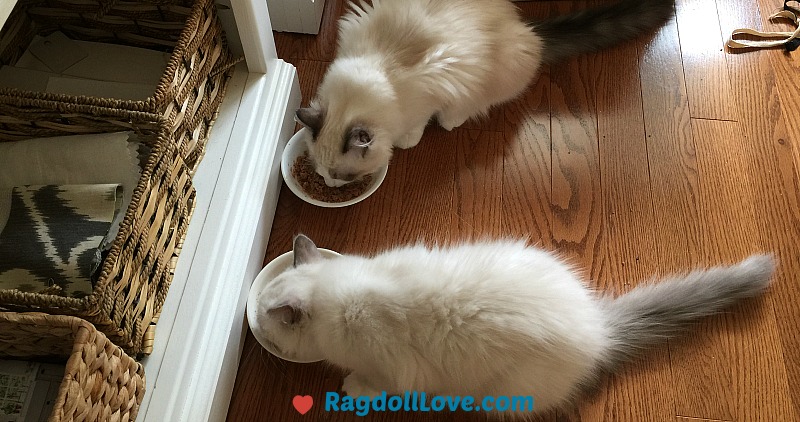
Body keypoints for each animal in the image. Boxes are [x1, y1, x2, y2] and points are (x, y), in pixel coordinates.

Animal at [252, 236, 776, 418]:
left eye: (262, 320)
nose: (254, 319)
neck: (338, 297)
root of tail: (598, 328)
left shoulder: (391, 372)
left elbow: (368, 384)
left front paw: (350, 386)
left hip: (503, 394)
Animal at [296, 0, 680, 186]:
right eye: (320, 171)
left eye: (344, 176)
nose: (329, 185)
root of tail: (527, 28)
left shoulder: (430, 94)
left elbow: (417, 124)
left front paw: (410, 139)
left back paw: (455, 119)